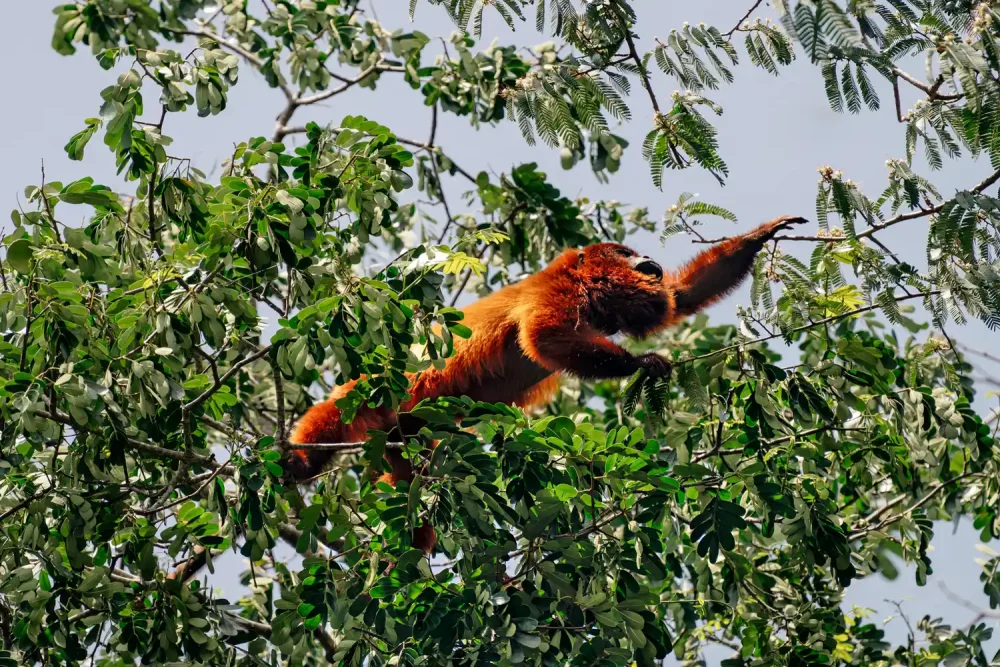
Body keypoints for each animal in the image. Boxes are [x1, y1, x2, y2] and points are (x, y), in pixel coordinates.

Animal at [287, 215, 807, 553]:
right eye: (624, 253)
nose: (647, 257)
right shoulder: (553, 289)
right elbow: (543, 335)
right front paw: (642, 362)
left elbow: (679, 296)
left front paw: (760, 235)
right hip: (378, 388)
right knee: (334, 415)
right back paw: (299, 462)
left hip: (402, 435)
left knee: (415, 480)